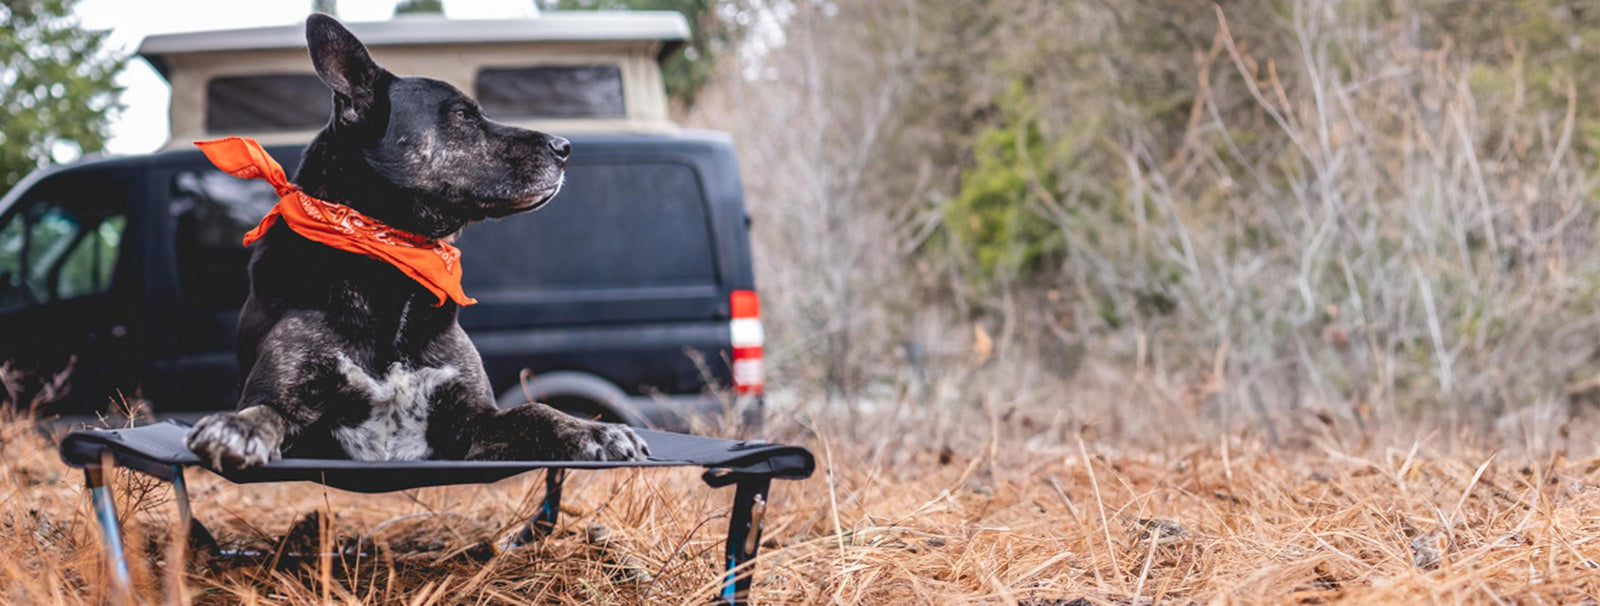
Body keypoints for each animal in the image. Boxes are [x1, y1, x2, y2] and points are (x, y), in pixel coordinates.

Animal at [190, 14, 652, 470]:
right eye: (463, 115)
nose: (564, 147)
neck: (395, 259)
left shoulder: (472, 420)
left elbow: (533, 410)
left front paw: (595, 431)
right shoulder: (289, 401)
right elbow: (264, 410)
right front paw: (237, 427)